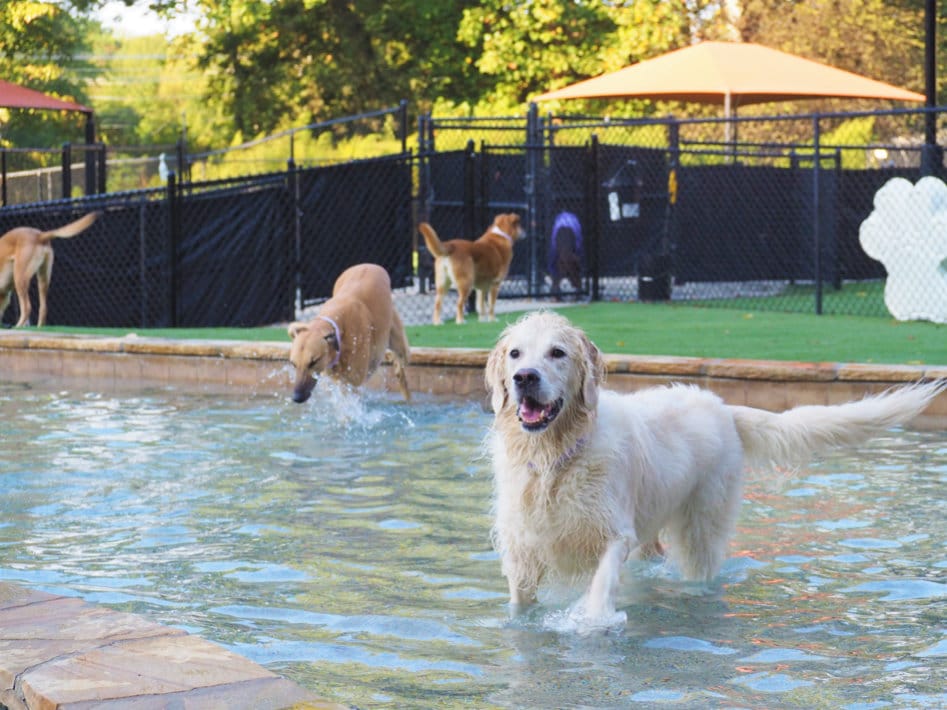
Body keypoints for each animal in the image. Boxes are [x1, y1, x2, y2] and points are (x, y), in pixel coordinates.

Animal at [286, 262, 410, 404]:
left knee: (402, 368)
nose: (297, 398)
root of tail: (369, 264)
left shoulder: (352, 385)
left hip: (400, 347)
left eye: (313, 361)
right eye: (293, 364)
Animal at [486, 314, 944, 624]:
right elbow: (520, 602)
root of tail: (724, 407)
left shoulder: (613, 533)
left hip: (702, 524)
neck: (556, 460)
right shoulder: (522, 544)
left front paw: (591, 623)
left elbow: (601, 588)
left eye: (557, 353)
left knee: (700, 563)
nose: (525, 376)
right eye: (516, 353)